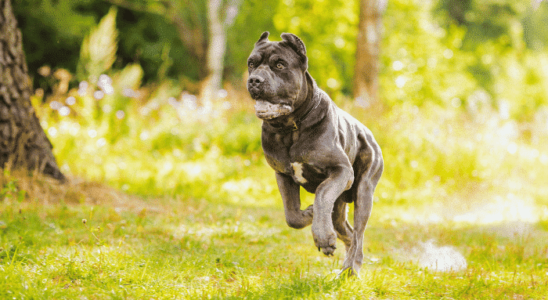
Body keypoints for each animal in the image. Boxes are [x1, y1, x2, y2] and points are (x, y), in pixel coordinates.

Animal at [246, 31, 384, 276]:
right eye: (251, 64)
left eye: (279, 65)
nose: (254, 80)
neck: (291, 128)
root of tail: (369, 133)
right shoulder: (283, 175)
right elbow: (291, 214)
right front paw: (309, 215)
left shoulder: (341, 171)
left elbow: (321, 193)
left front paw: (322, 236)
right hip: (340, 207)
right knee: (348, 232)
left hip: (364, 191)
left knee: (359, 235)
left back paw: (352, 268)